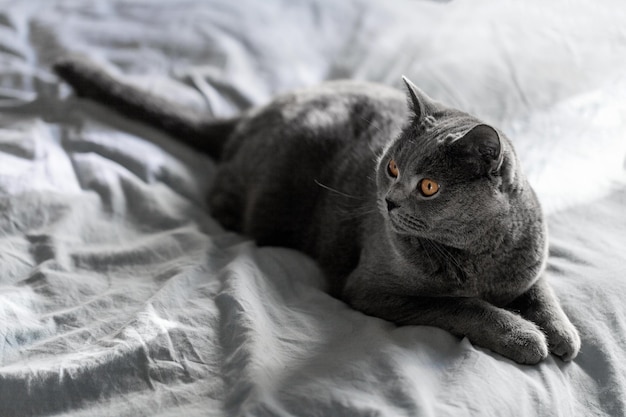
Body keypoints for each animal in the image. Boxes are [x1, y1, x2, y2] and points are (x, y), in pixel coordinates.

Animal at [53, 56, 580, 364]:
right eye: (391, 167)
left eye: (428, 186)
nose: (388, 200)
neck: (475, 254)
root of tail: (248, 114)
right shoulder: (372, 290)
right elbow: (463, 306)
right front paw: (525, 337)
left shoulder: (528, 265)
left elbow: (543, 293)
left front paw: (563, 335)